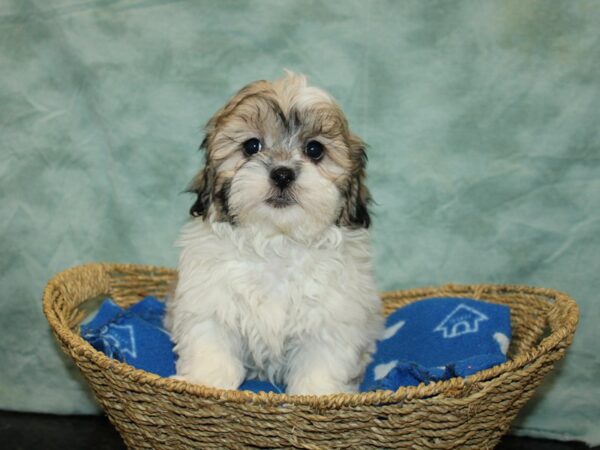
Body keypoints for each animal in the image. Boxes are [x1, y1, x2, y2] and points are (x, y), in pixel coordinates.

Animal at [165, 71, 380, 394]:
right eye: (251, 146)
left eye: (314, 149)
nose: (282, 173)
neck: (277, 241)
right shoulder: (209, 304)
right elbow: (211, 345)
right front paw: (204, 382)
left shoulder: (330, 319)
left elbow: (322, 362)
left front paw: (318, 394)